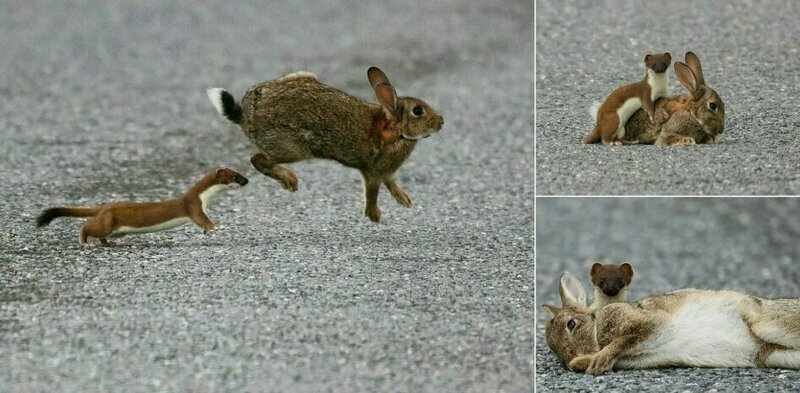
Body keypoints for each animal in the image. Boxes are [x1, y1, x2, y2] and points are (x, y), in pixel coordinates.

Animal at [36, 168, 248, 247]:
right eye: (236, 176)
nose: (247, 181)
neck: (206, 199)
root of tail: (105, 206)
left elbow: (202, 224)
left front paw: (208, 231)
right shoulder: (193, 205)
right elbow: (202, 219)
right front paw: (218, 226)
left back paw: (109, 243)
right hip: (107, 222)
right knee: (86, 227)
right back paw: (84, 242)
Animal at [206, 67, 444, 220]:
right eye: (418, 111)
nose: (441, 122)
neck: (395, 129)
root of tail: (247, 115)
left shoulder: (385, 171)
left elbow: (392, 184)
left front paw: (405, 201)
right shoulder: (373, 171)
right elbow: (372, 191)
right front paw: (374, 216)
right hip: (292, 147)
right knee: (257, 159)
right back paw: (290, 180)